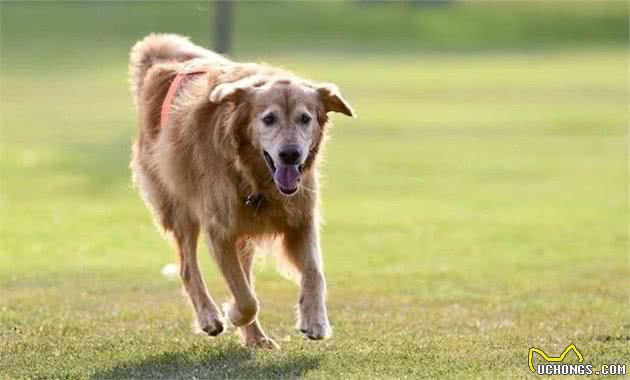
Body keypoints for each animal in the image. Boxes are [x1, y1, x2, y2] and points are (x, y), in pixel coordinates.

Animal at [128, 34, 356, 348]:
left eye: (305, 118)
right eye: (268, 119)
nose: (290, 154)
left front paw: (315, 320)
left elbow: (314, 273)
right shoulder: (220, 232)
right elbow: (246, 298)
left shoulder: (301, 221)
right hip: (181, 210)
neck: (253, 176)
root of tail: (163, 64)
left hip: (244, 232)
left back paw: (256, 338)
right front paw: (233, 313)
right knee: (188, 269)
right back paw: (210, 317)